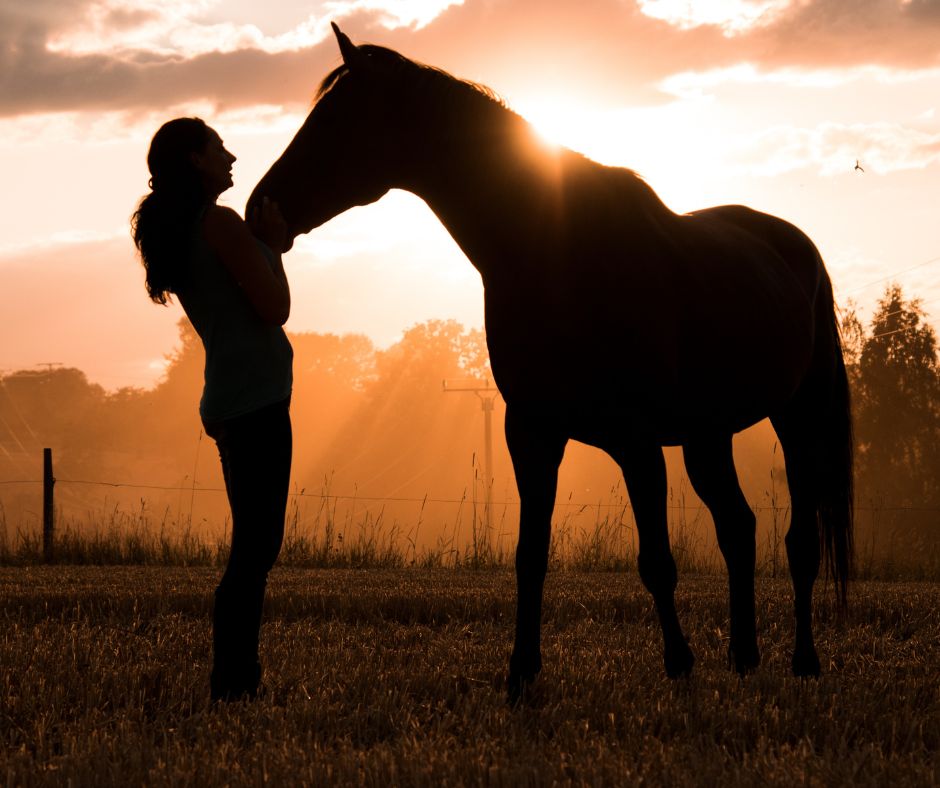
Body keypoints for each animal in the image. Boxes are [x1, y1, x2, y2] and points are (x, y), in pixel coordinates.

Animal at [250, 24, 852, 700]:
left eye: (336, 120)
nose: (259, 206)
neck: (558, 254)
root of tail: (795, 247)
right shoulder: (531, 433)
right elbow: (529, 557)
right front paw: (521, 673)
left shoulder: (636, 441)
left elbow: (657, 561)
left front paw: (678, 663)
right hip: (707, 436)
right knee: (739, 529)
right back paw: (744, 655)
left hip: (799, 421)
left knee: (800, 541)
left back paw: (803, 660)